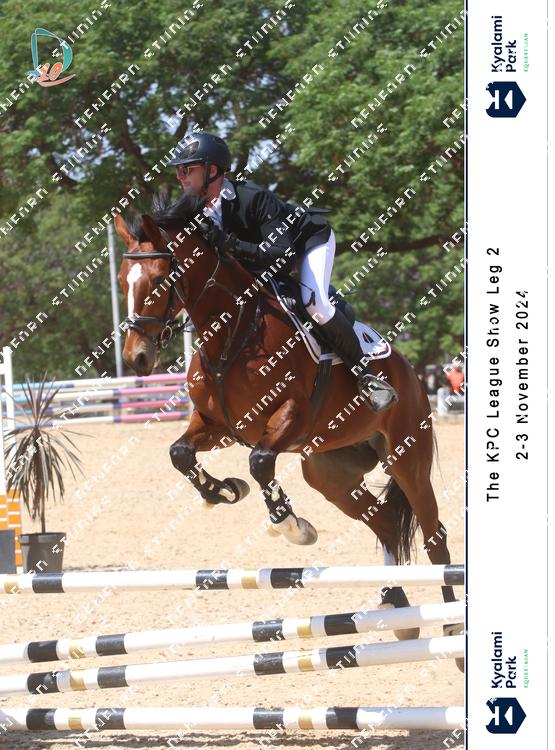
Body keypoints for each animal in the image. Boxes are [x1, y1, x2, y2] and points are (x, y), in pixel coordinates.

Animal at [114, 192, 461, 656]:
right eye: (122, 281)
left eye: (159, 280)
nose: (137, 358)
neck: (232, 332)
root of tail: (409, 370)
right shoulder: (219, 425)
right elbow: (180, 452)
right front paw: (223, 491)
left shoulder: (291, 416)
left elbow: (260, 462)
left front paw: (293, 527)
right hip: (328, 472)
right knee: (386, 523)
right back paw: (397, 606)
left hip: (407, 457)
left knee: (434, 534)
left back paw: (450, 624)